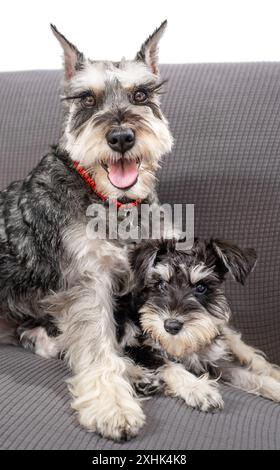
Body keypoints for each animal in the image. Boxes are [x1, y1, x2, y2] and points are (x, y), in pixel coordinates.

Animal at [0, 22, 173, 440]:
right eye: (87, 99)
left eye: (141, 94)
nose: (122, 137)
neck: (112, 202)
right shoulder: (86, 282)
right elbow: (95, 343)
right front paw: (112, 407)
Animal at [115, 241, 280, 410]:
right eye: (161, 284)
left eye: (201, 287)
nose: (171, 326)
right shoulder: (139, 349)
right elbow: (167, 365)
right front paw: (198, 389)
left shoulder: (214, 360)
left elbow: (247, 375)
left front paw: (274, 387)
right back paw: (142, 380)